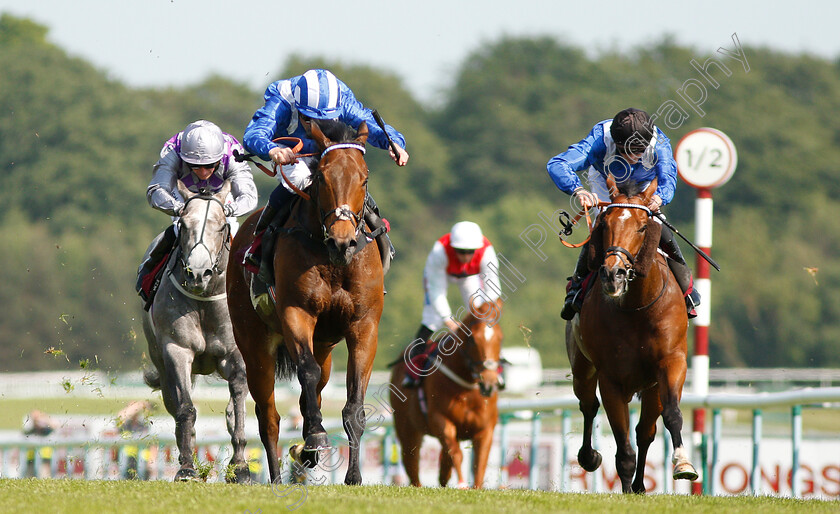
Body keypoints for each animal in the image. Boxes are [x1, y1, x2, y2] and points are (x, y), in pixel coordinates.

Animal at [138, 180, 248, 480]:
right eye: (185, 224)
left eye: (221, 226)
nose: (198, 273)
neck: (205, 300)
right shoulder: (177, 351)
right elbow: (185, 409)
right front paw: (187, 467)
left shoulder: (236, 353)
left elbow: (237, 406)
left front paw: (240, 466)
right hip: (162, 367)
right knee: (175, 406)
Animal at [226, 119, 384, 484]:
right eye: (323, 177)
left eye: (364, 178)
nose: (343, 241)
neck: (333, 259)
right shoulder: (296, 313)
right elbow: (306, 372)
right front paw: (315, 437)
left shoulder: (364, 326)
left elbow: (354, 403)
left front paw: (353, 476)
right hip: (254, 346)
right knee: (269, 417)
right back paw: (276, 475)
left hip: (325, 345)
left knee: (312, 391)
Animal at [388, 296, 502, 484]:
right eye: (472, 339)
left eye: (500, 338)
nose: (488, 382)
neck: (466, 389)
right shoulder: (440, 419)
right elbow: (456, 454)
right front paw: (462, 484)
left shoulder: (485, 429)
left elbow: (479, 464)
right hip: (407, 429)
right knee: (411, 464)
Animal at [568, 173, 700, 492]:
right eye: (605, 225)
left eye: (642, 226)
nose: (612, 273)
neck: (637, 308)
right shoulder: (611, 378)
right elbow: (622, 445)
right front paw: (625, 487)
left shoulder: (671, 362)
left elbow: (671, 414)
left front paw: (683, 464)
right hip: (582, 368)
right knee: (588, 406)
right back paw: (590, 457)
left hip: (651, 386)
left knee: (645, 431)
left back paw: (641, 485)